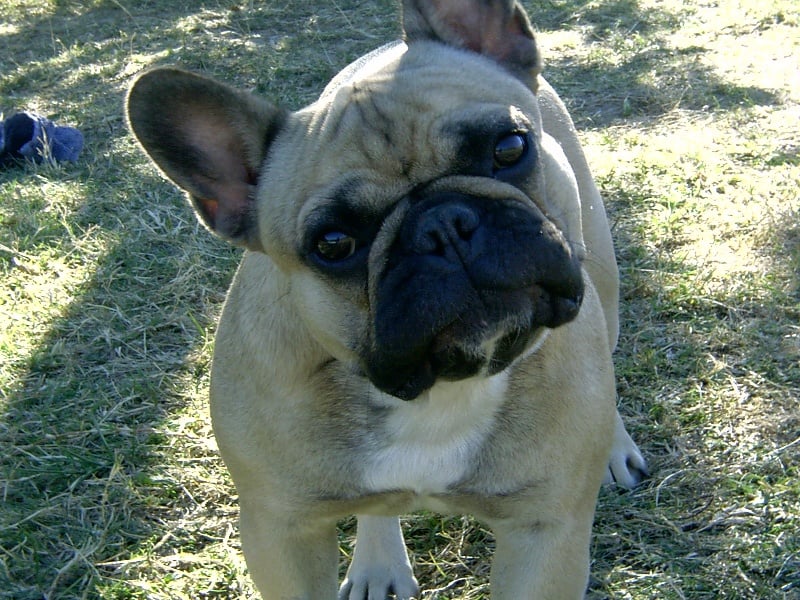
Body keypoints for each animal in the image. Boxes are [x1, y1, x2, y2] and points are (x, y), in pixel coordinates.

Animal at [128, 0, 648, 596]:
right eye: (333, 244)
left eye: (509, 148)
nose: (443, 226)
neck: (436, 392)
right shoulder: (281, 532)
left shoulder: (546, 536)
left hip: (601, 283)